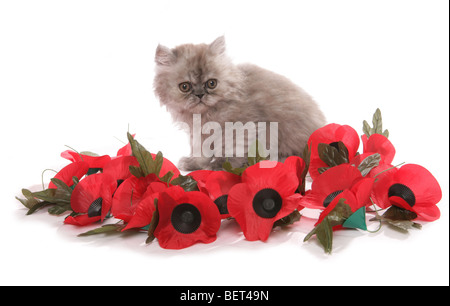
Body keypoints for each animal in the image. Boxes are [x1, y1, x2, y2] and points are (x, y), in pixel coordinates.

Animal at [153, 36, 326, 171]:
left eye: (211, 83)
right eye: (185, 87)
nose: (200, 95)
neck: (206, 114)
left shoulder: (242, 127)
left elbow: (233, 150)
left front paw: (220, 166)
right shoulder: (197, 133)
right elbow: (201, 152)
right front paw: (194, 164)